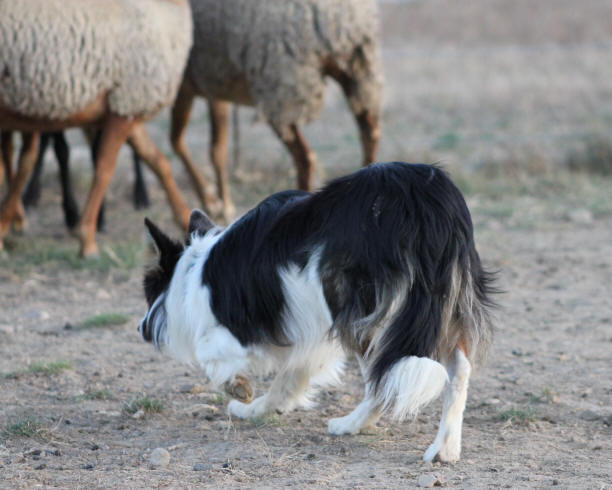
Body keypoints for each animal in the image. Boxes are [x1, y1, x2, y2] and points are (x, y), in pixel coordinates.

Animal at [0, 0, 192, 258]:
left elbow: (158, 162)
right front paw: (87, 239)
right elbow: (104, 169)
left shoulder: (127, 105)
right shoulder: (125, 104)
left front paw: (186, 217)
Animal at [139, 163, 492, 462]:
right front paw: (261, 408)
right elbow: (290, 375)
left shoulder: (245, 327)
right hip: (440, 304)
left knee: (381, 377)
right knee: (458, 369)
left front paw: (237, 388)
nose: (140, 328)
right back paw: (445, 448)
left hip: (355, 306)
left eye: (147, 290)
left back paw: (352, 424)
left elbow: (209, 353)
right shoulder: (308, 328)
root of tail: (423, 197)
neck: (195, 268)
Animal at [171, 0, 382, 220]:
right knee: (370, 133)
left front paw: (212, 201)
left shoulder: (184, 84)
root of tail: (337, 14)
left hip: (281, 86)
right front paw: (220, 202)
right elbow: (216, 148)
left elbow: (179, 142)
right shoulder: (213, 84)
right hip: (358, 71)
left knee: (305, 157)